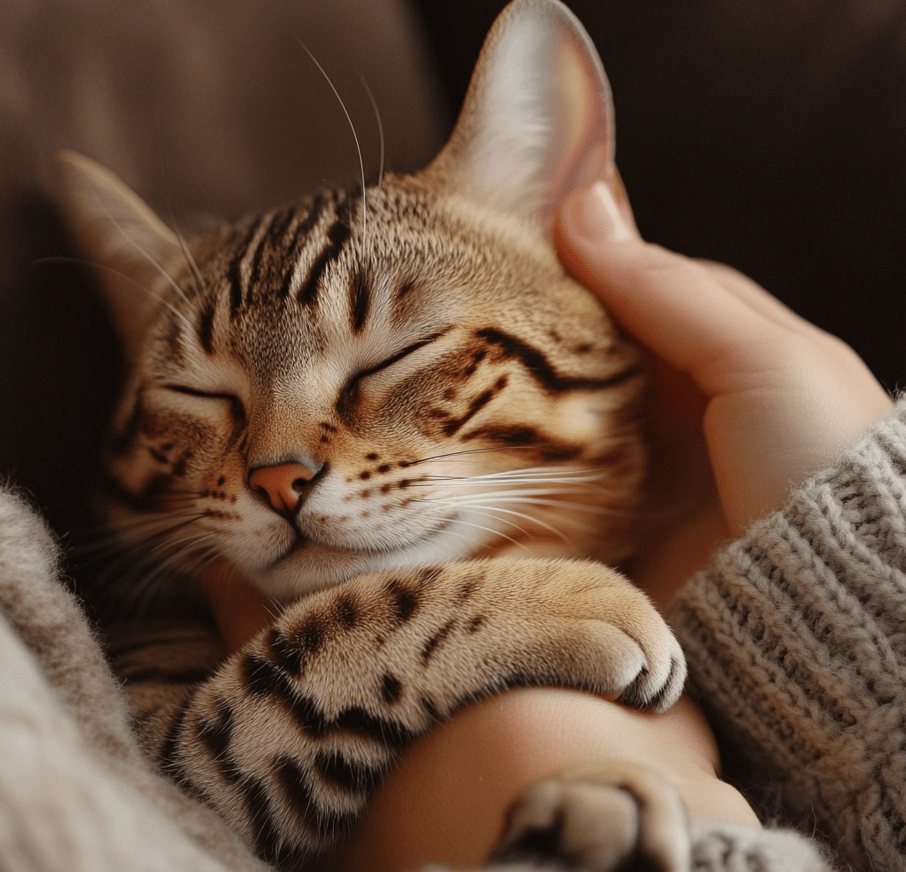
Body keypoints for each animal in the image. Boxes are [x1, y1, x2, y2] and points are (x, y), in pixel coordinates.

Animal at [56, 0, 684, 864]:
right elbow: (350, 617)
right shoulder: (168, 770)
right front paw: (568, 597)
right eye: (201, 393)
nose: (277, 481)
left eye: (396, 355)